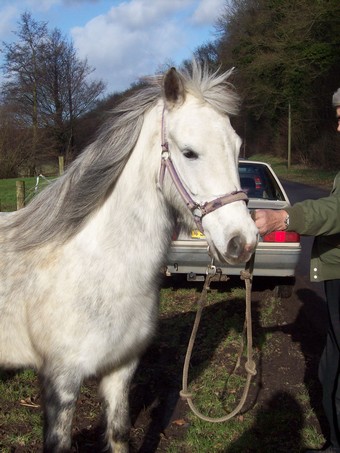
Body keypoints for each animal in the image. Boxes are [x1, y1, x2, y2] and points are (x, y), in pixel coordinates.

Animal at [0, 61, 258, 452]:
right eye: (189, 152)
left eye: (237, 147)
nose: (243, 241)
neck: (97, 269)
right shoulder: (60, 380)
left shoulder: (120, 369)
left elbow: (119, 433)